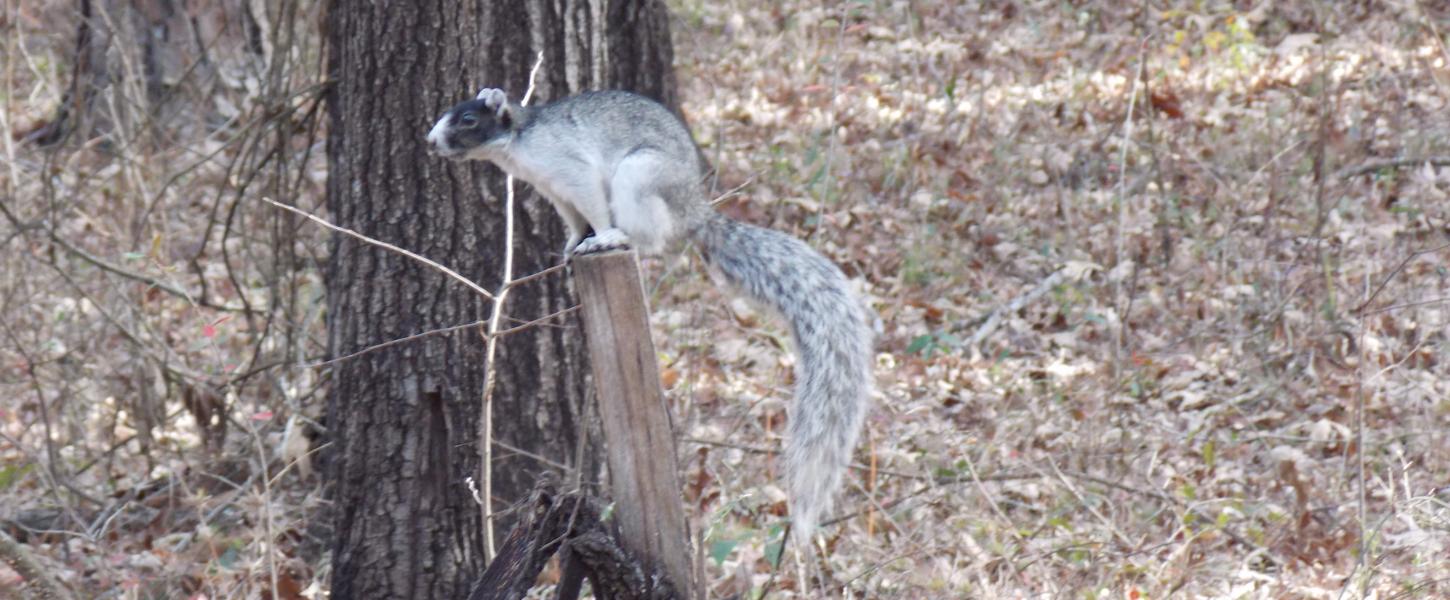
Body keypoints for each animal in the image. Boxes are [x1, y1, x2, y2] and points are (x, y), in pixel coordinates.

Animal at [423, 89, 870, 547]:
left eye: (468, 119)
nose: (430, 141)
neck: (518, 143)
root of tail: (693, 209)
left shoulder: (570, 169)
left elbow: (593, 206)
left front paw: (598, 236)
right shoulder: (556, 194)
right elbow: (574, 222)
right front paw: (571, 245)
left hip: (640, 177)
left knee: (648, 236)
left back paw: (617, 238)